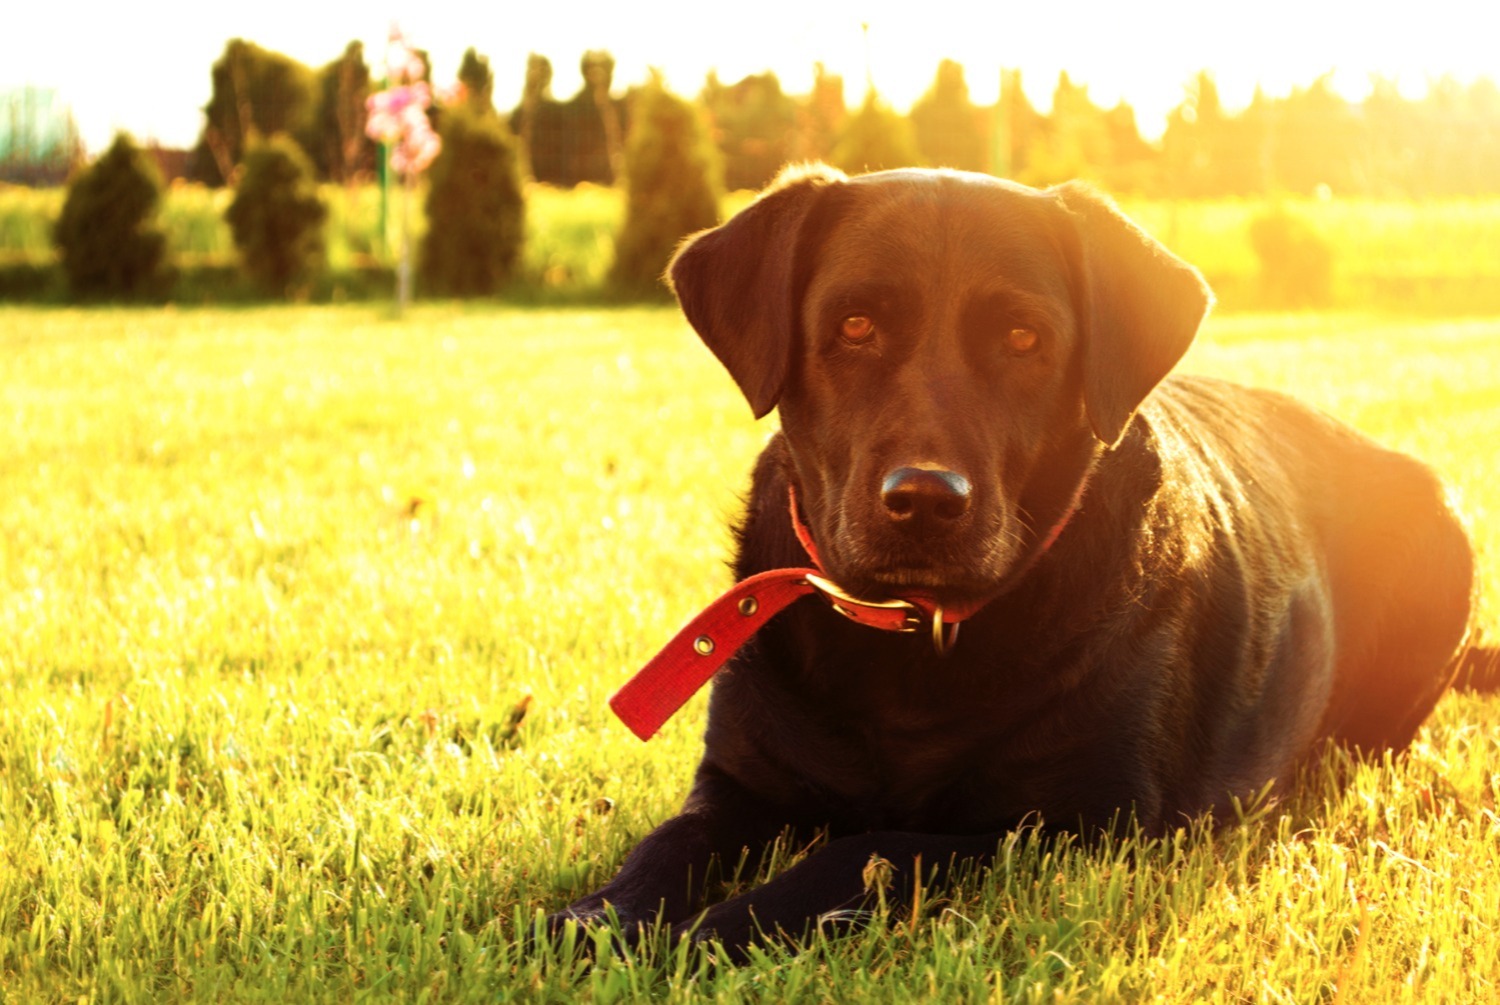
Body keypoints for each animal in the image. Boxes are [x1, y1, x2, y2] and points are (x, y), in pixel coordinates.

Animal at [546, 163, 1470, 954]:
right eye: (854, 326)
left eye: (1024, 338)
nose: (925, 500)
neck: (909, 646)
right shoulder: (740, 783)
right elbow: (666, 843)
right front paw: (596, 918)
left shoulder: (1071, 824)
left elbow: (870, 848)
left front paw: (716, 928)